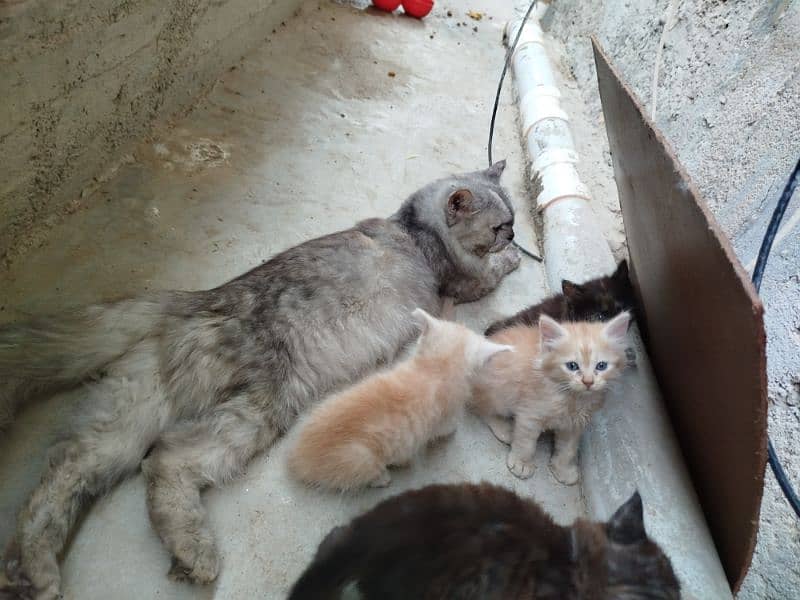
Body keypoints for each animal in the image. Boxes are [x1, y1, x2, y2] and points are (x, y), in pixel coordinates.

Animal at [288, 310, 512, 492]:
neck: (435, 368)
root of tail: (298, 459)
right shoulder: (444, 416)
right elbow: (445, 428)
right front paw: (452, 431)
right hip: (362, 459)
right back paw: (383, 477)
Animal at [468, 312, 632, 486]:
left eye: (601, 366)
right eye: (572, 366)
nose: (588, 382)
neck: (571, 398)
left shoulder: (574, 424)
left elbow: (568, 449)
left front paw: (563, 470)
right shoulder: (529, 415)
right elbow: (526, 443)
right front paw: (521, 463)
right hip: (498, 390)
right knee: (480, 408)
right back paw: (504, 429)